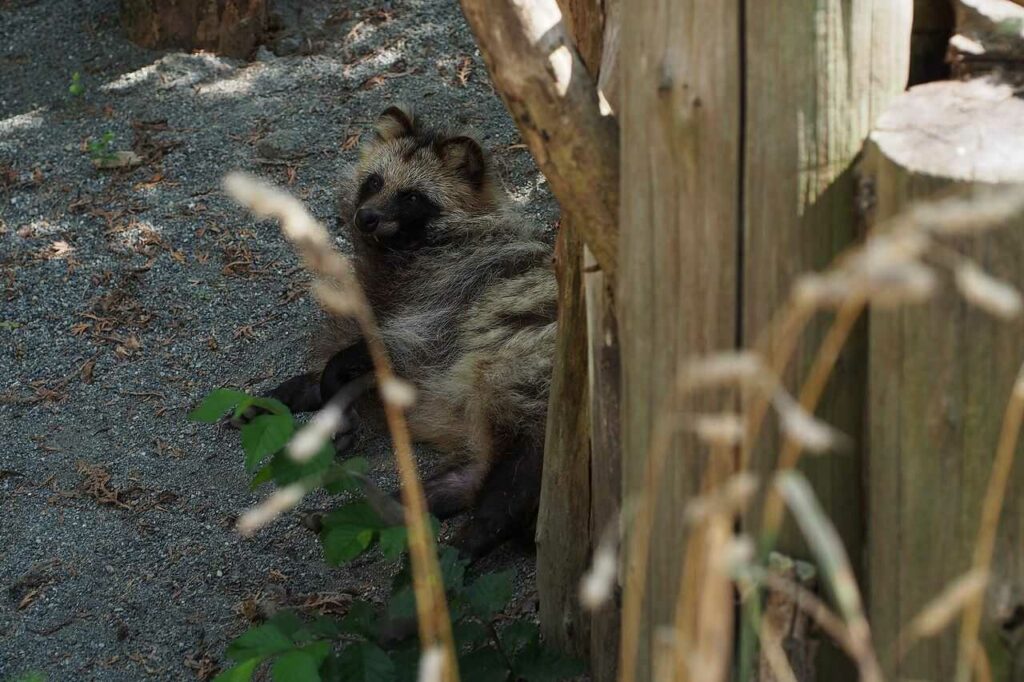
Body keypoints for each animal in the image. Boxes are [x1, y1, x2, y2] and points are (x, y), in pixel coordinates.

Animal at [256, 103, 561, 557]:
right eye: (375, 181)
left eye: (412, 196)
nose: (366, 218)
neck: (403, 250)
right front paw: (303, 390)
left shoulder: (449, 299)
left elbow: (386, 349)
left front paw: (330, 382)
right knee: (463, 480)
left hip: (529, 391)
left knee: (511, 487)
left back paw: (467, 542)